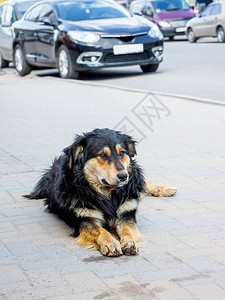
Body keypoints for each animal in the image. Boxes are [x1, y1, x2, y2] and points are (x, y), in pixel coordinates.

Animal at [24, 127, 176, 256]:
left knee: (141, 184)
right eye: (103, 155)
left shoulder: (126, 213)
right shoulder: (84, 219)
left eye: (122, 153)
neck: (107, 193)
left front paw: (129, 242)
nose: (123, 176)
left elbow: (128, 230)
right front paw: (110, 243)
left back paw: (164, 188)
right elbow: (100, 230)